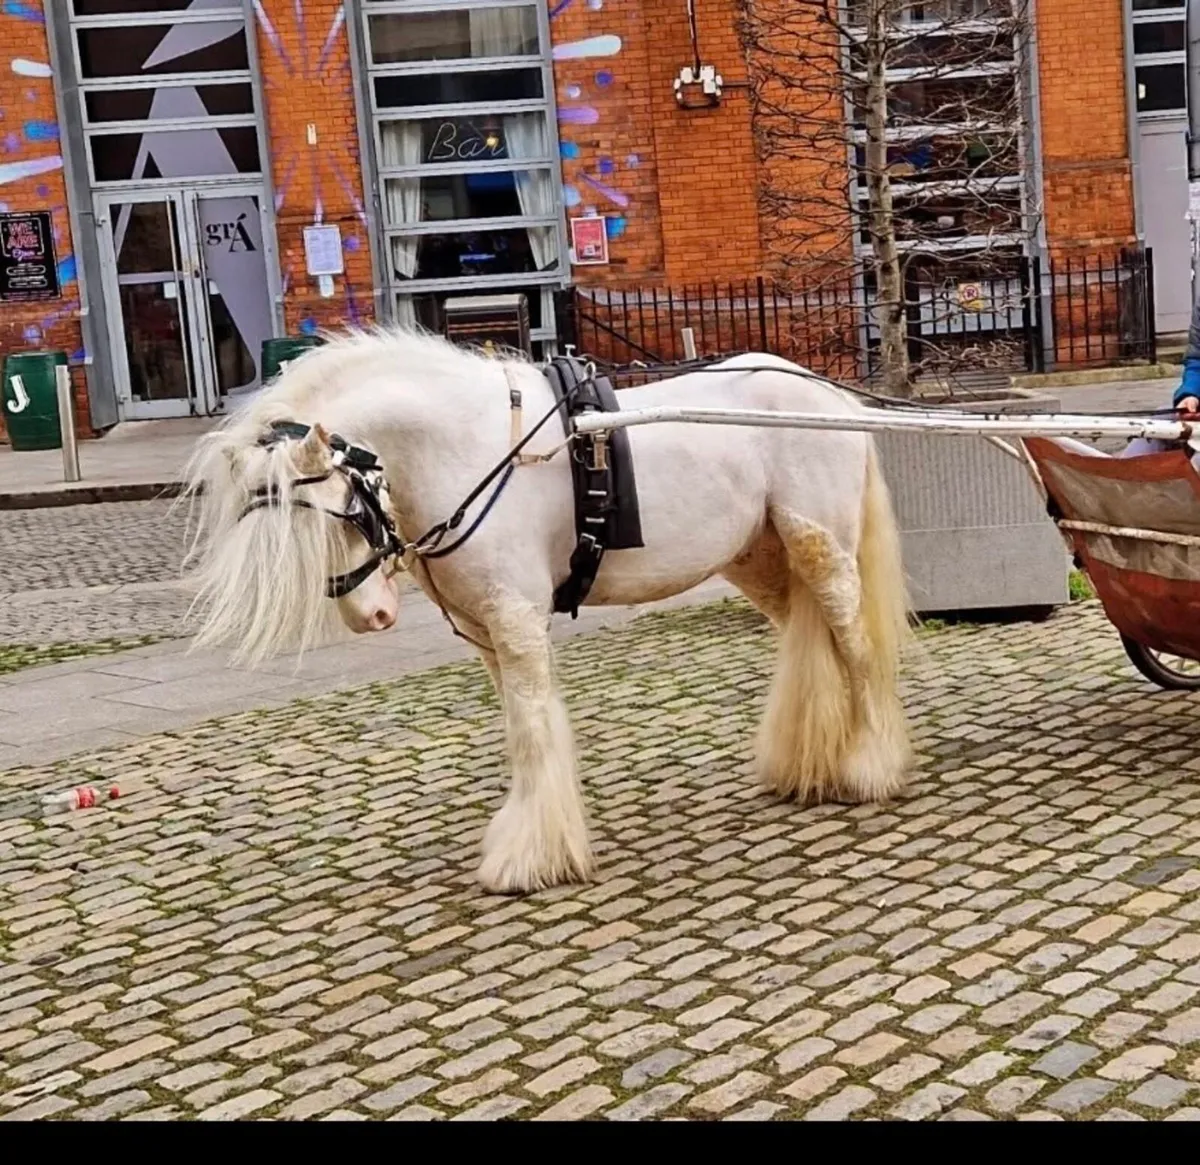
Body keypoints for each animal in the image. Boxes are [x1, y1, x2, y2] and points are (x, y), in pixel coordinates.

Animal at [182, 327, 913, 895]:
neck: (472, 446)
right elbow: (517, 730)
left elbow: (533, 730)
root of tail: (826, 394)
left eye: (342, 513)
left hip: (821, 546)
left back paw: (871, 764)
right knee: (812, 642)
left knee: (856, 647)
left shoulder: (516, 621)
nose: (370, 617)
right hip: (760, 557)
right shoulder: (485, 635)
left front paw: (530, 857)